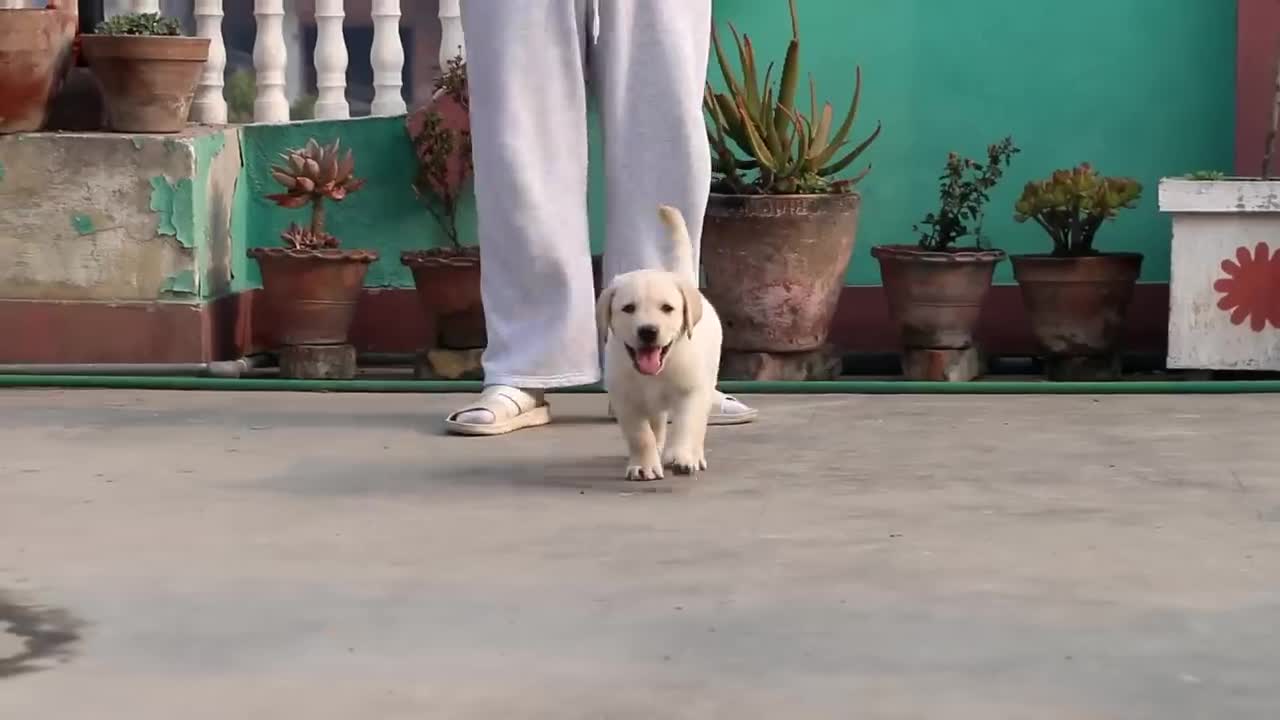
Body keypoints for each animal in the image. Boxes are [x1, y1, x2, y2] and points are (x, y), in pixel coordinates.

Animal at [596, 204, 727, 479]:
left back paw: (694, 455)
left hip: (708, 379)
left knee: (697, 426)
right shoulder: (625, 399)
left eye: (667, 308)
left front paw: (681, 457)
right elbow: (640, 435)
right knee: (656, 425)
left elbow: (686, 425)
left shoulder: (692, 392)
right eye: (628, 308)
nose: (648, 331)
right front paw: (644, 465)